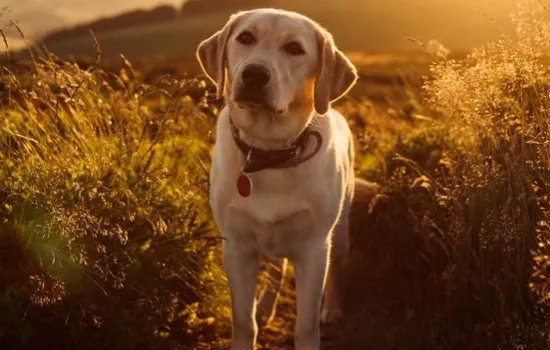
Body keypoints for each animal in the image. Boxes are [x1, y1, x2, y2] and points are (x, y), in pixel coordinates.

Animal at [201, 8, 360, 350]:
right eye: (246, 37)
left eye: (294, 48)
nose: (254, 74)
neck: (268, 152)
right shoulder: (236, 248)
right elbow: (243, 322)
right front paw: (252, 319)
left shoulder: (314, 249)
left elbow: (305, 326)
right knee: (276, 268)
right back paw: (265, 306)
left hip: (340, 231)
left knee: (337, 269)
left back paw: (332, 309)